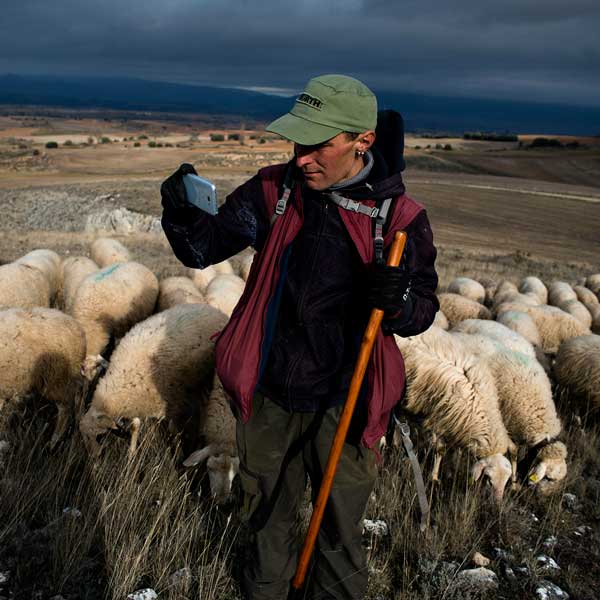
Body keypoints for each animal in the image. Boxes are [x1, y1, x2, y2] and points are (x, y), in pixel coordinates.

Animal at [80, 302, 230, 458]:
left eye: (98, 436)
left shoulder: (172, 403)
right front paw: (132, 453)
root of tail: (213, 309)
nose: (94, 457)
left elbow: (173, 430)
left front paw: (177, 453)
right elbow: (135, 425)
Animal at [394, 328, 516, 502]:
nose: (497, 503)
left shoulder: (457, 424)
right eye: (489, 480)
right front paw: (434, 478)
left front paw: (451, 471)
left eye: (506, 481)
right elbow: (440, 450)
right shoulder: (438, 420)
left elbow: (455, 453)